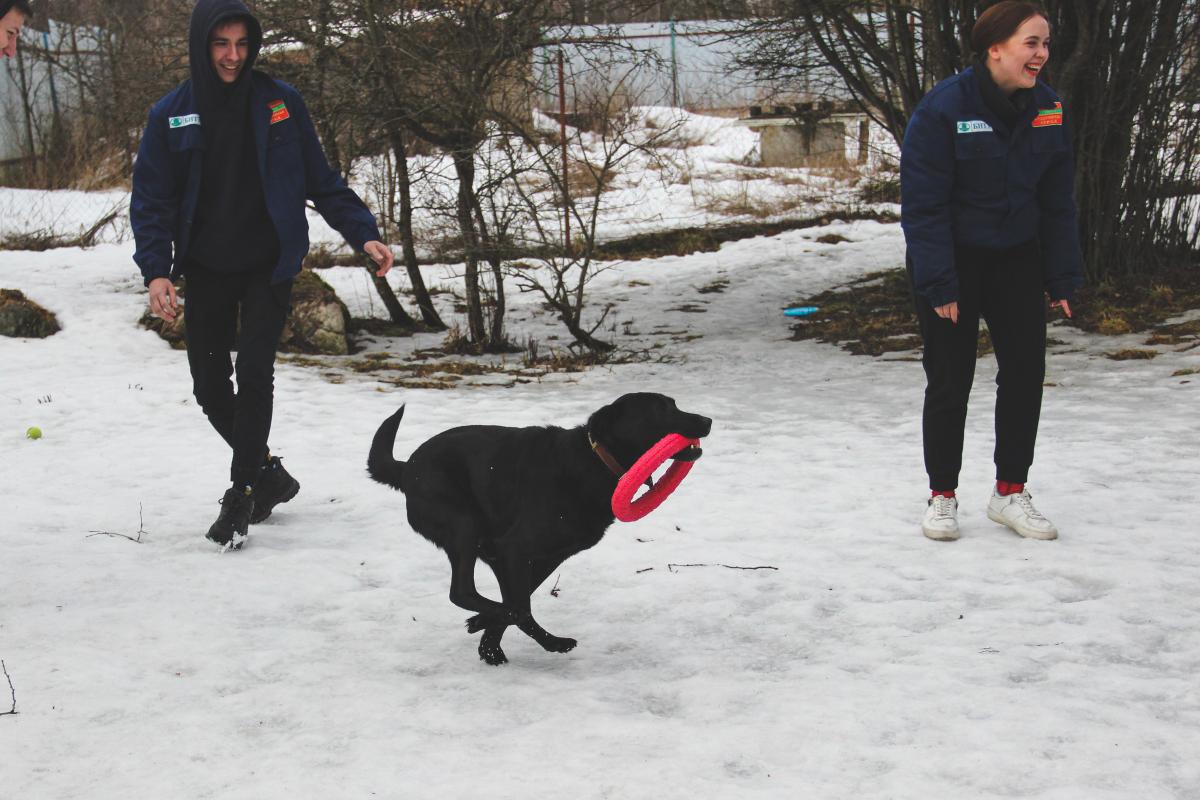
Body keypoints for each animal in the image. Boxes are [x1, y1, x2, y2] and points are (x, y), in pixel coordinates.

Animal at [367, 393, 710, 662]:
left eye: (675, 404)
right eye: (661, 410)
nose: (707, 420)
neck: (594, 461)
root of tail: (406, 469)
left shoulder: (541, 556)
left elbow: (519, 599)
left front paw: (487, 643)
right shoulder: (516, 548)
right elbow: (520, 606)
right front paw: (529, 637)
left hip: (484, 544)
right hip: (464, 525)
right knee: (462, 591)